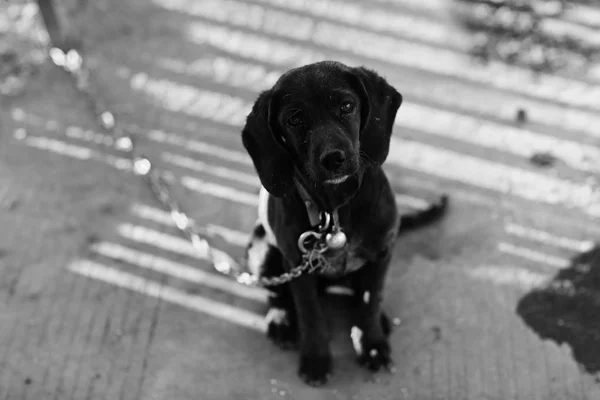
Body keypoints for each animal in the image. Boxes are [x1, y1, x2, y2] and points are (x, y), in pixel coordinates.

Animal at [243, 61, 404, 386]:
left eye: (347, 105)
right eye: (294, 119)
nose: (333, 159)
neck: (335, 209)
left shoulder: (383, 252)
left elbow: (371, 300)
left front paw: (372, 345)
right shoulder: (298, 267)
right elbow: (311, 316)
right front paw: (316, 359)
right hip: (261, 249)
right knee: (276, 294)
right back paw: (281, 320)